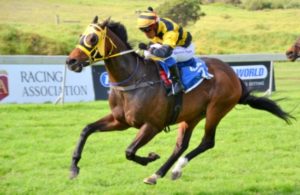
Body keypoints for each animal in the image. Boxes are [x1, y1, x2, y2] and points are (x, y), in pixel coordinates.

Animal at [65, 16, 292, 184]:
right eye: (81, 35)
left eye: (92, 39)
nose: (70, 61)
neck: (134, 79)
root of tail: (233, 75)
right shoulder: (120, 121)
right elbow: (86, 129)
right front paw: (74, 168)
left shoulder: (153, 125)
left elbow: (129, 151)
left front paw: (150, 157)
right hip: (191, 116)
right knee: (181, 145)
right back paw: (158, 174)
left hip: (216, 110)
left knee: (207, 142)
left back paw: (174, 170)